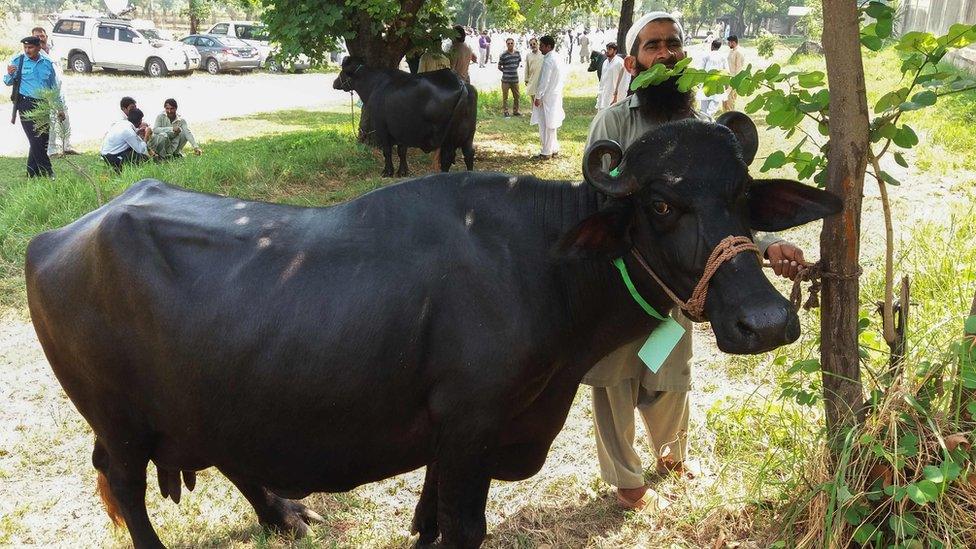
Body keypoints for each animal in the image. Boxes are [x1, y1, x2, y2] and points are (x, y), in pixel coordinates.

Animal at [28, 113, 840, 544]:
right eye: (663, 205)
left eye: (743, 195)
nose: (765, 320)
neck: (539, 266)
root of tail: (59, 237)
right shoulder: (470, 427)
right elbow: (463, 526)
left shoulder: (449, 439)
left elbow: (429, 521)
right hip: (119, 421)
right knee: (127, 491)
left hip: (210, 398)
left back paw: (286, 511)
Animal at [334, 56, 478, 177]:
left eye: (343, 71)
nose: (335, 83)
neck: (375, 85)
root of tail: (461, 84)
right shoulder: (402, 129)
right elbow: (402, 151)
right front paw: (403, 172)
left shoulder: (382, 128)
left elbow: (387, 151)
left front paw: (387, 172)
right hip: (468, 135)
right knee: (469, 154)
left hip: (449, 138)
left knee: (447, 157)